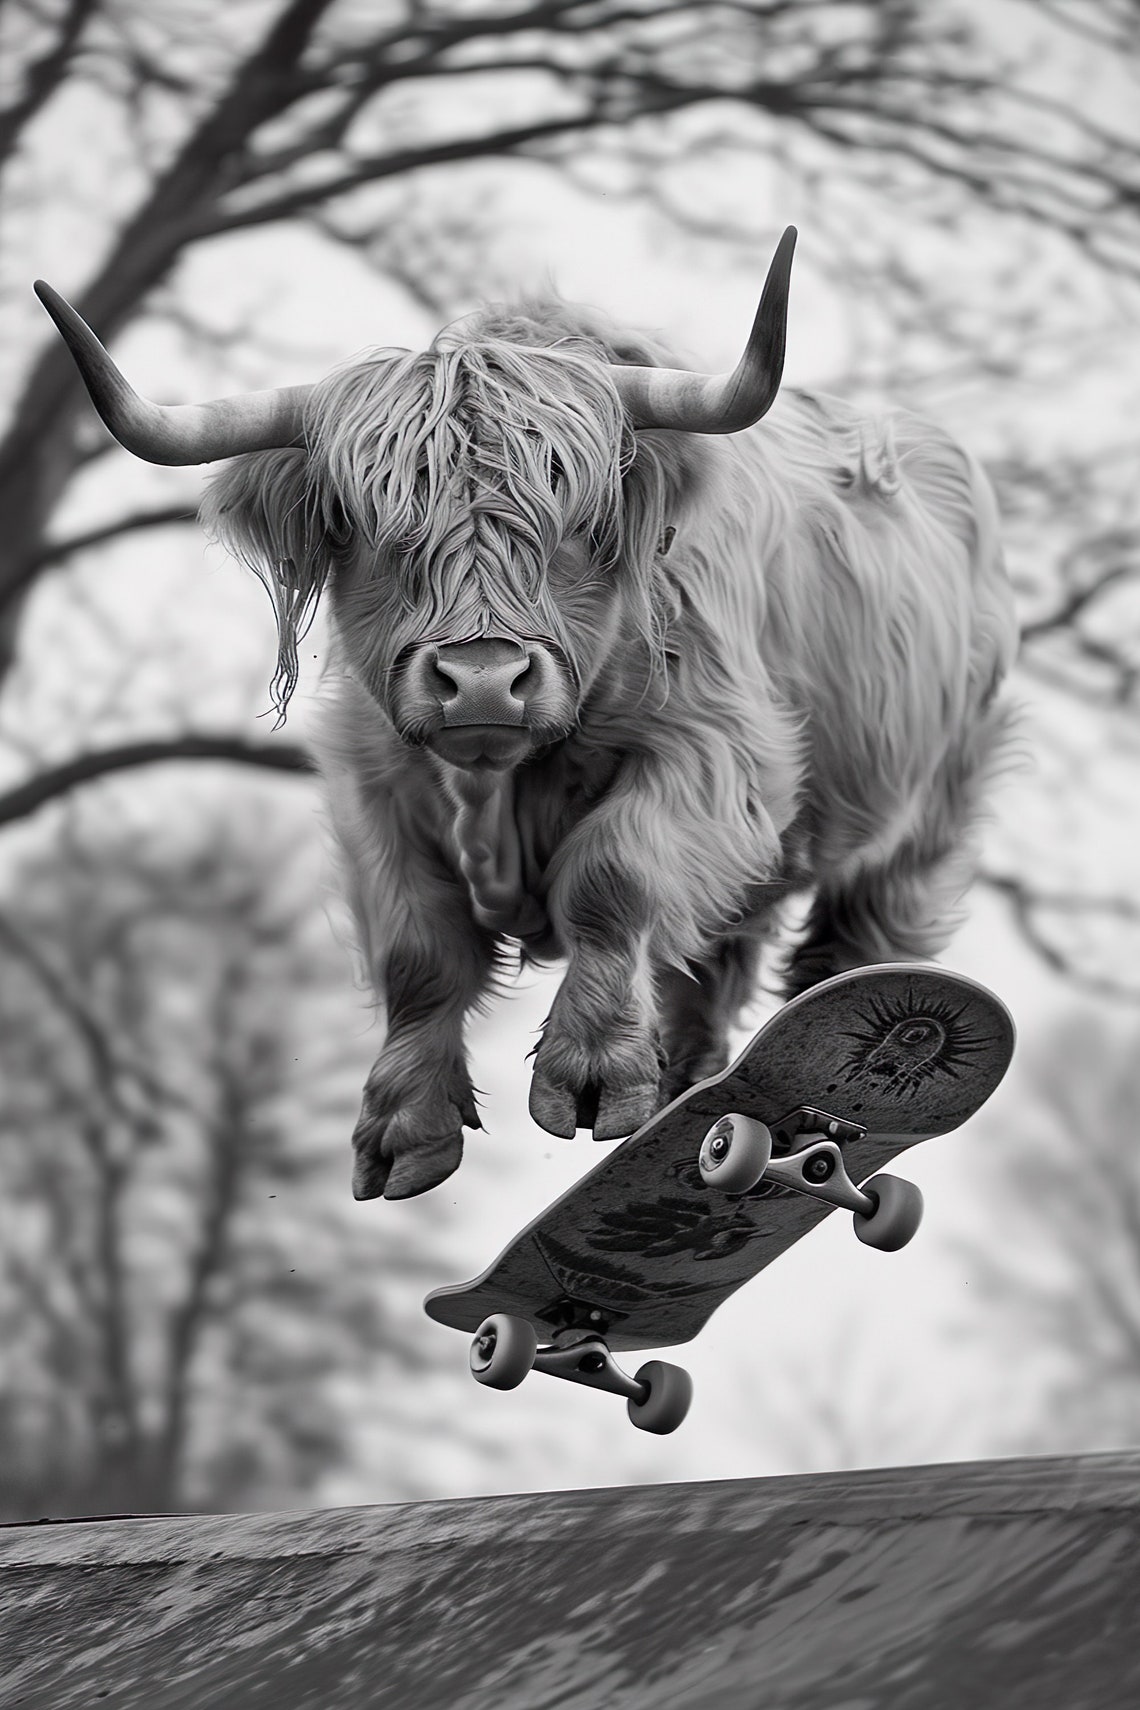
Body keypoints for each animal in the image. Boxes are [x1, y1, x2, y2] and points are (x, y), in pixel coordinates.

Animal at [36, 228, 1017, 1202]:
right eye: (363, 521)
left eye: (576, 522)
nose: (480, 679)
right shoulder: (374, 788)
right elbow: (419, 950)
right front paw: (404, 1129)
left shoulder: (717, 756)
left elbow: (613, 874)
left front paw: (592, 1074)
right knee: (713, 968)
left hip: (927, 817)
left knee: (853, 943)